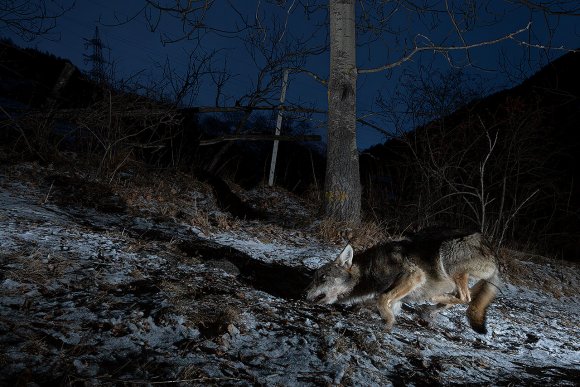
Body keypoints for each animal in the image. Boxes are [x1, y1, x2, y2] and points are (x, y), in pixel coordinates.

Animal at [306, 229, 500, 334]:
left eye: (322, 278)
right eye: (313, 279)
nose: (304, 293)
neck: (369, 270)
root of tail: (494, 253)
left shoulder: (414, 275)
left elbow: (381, 299)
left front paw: (388, 323)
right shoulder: (396, 294)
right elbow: (379, 301)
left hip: (447, 255)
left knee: (464, 297)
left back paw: (432, 299)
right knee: (462, 297)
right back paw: (429, 310)